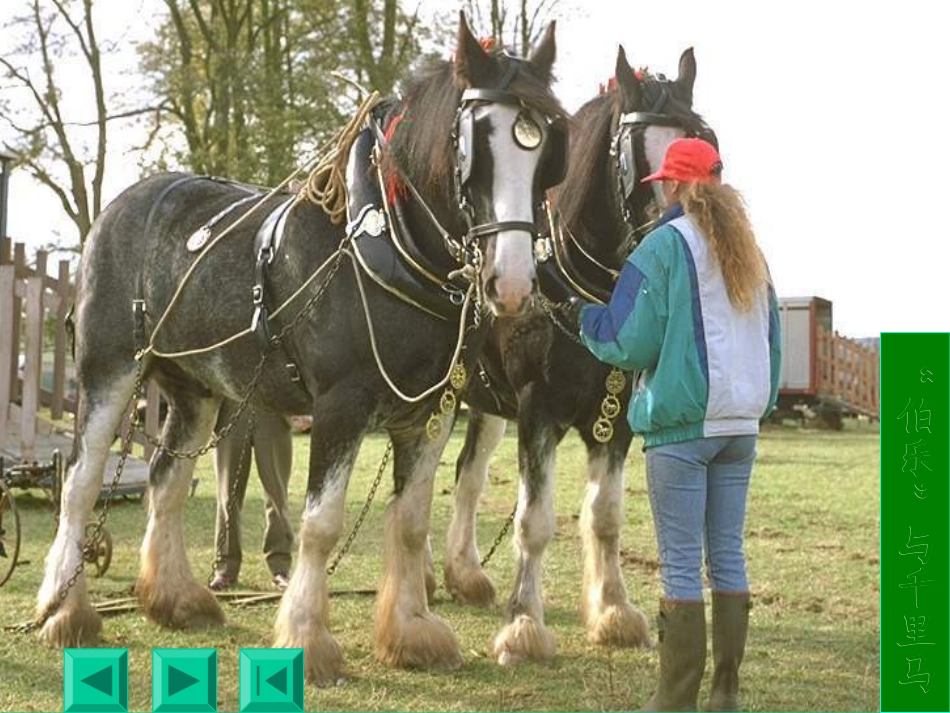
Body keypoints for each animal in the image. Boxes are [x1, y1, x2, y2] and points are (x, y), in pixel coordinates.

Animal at [39, 16, 564, 684]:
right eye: (476, 145)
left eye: (545, 150)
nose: (514, 283)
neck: (394, 244)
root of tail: (119, 206)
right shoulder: (342, 405)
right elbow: (321, 525)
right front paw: (309, 638)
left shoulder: (431, 413)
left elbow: (411, 523)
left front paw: (412, 633)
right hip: (108, 371)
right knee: (80, 484)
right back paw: (64, 610)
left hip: (195, 390)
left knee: (166, 480)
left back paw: (175, 599)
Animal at [442, 47, 716, 664]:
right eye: (636, 159)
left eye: (703, 143)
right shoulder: (536, 409)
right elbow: (534, 520)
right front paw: (523, 625)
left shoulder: (616, 420)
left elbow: (606, 515)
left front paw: (613, 611)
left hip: (486, 405)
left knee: (468, 475)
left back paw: (462, 573)